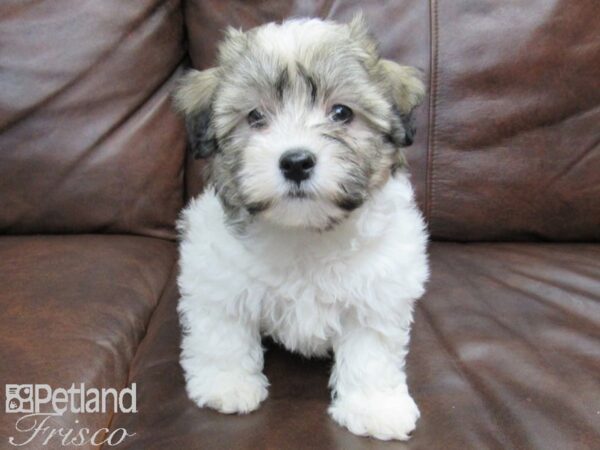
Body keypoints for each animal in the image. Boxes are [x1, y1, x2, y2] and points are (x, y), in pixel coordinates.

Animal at [172, 15, 426, 442]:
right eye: (255, 117)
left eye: (341, 112)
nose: (295, 162)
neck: (304, 231)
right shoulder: (217, 273)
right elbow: (223, 330)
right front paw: (227, 384)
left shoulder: (378, 287)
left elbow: (371, 351)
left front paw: (374, 406)